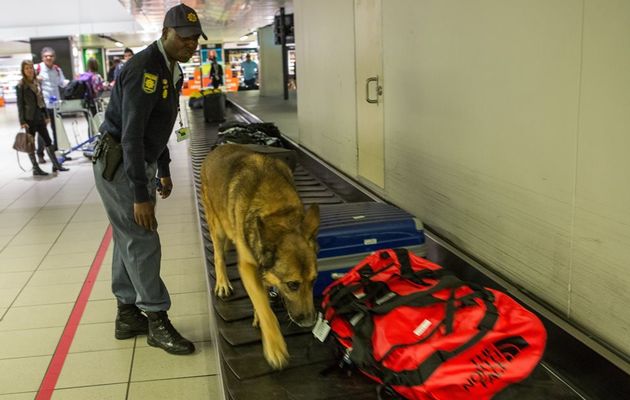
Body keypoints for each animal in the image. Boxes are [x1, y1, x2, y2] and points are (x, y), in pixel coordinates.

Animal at [202, 143, 320, 368]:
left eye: (314, 281)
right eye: (293, 284)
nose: (310, 322)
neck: (278, 212)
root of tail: (216, 150)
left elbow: (262, 293)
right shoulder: (248, 267)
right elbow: (264, 307)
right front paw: (275, 345)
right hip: (217, 227)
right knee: (219, 256)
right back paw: (222, 282)